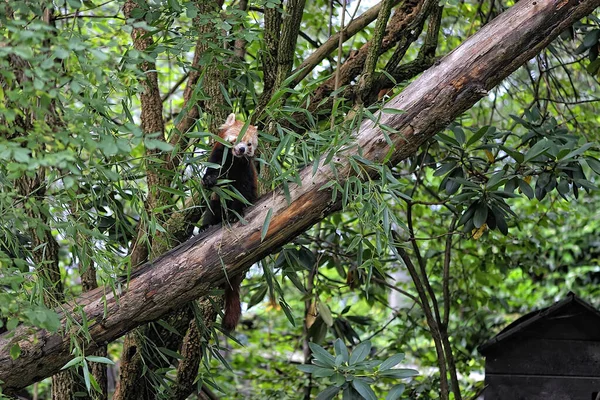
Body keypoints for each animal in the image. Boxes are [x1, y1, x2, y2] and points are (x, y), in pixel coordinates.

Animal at [202, 112, 258, 332]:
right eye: (237, 138)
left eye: (249, 144)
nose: (241, 149)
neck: (233, 161)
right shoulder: (217, 159)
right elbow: (211, 177)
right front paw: (209, 180)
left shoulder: (246, 172)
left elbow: (242, 192)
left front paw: (236, 212)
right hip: (214, 207)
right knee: (211, 211)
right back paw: (206, 226)